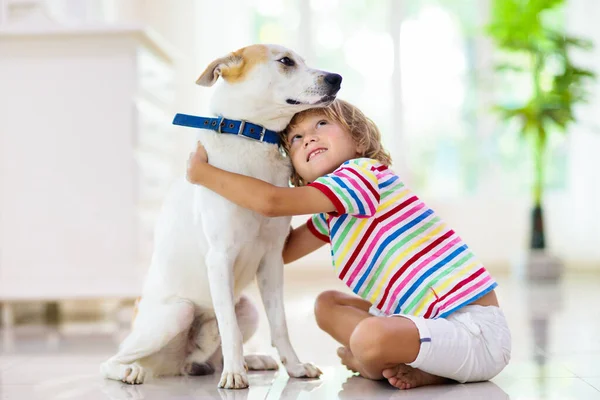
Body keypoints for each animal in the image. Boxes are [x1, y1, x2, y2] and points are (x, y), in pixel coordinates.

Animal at [99, 43, 342, 388]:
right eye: (285, 61)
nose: (337, 78)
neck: (251, 140)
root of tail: (175, 365)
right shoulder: (219, 257)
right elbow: (230, 328)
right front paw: (234, 375)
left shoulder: (272, 259)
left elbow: (280, 324)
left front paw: (294, 368)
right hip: (177, 313)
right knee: (110, 360)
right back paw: (131, 370)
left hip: (249, 307)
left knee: (209, 359)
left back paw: (249, 361)